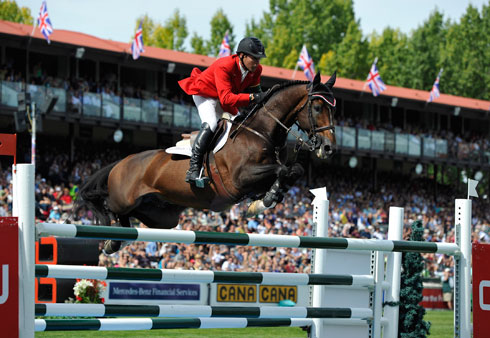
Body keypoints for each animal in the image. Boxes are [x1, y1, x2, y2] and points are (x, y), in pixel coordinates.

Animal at [75, 71, 336, 252]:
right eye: (317, 107)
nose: (328, 148)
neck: (259, 132)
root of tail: (121, 163)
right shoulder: (240, 179)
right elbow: (282, 169)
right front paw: (266, 200)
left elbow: (294, 170)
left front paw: (264, 201)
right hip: (123, 198)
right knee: (110, 207)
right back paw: (111, 241)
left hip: (163, 216)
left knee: (134, 217)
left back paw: (116, 241)